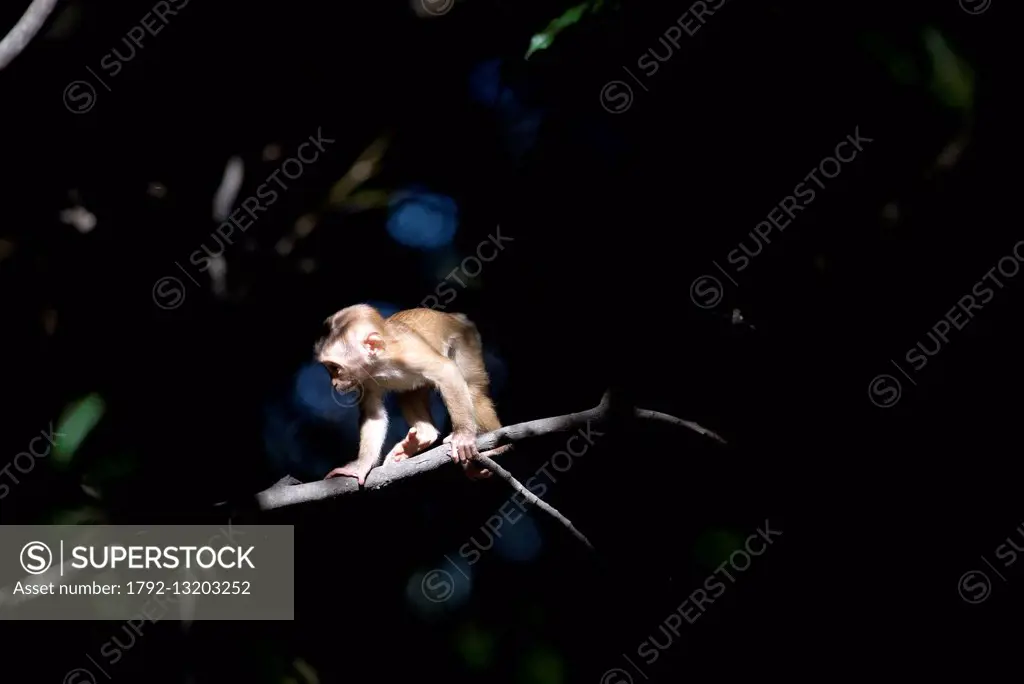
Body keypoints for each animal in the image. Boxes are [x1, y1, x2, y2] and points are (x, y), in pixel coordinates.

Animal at [313, 301, 501, 483]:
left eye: (335, 368)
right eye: (328, 369)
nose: (334, 384)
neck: (380, 364)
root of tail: (452, 316)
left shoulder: (409, 353)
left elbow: (446, 371)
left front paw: (463, 436)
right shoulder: (365, 379)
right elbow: (374, 413)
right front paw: (361, 466)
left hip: (466, 338)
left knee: (474, 391)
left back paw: (496, 446)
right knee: (409, 393)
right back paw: (423, 437)